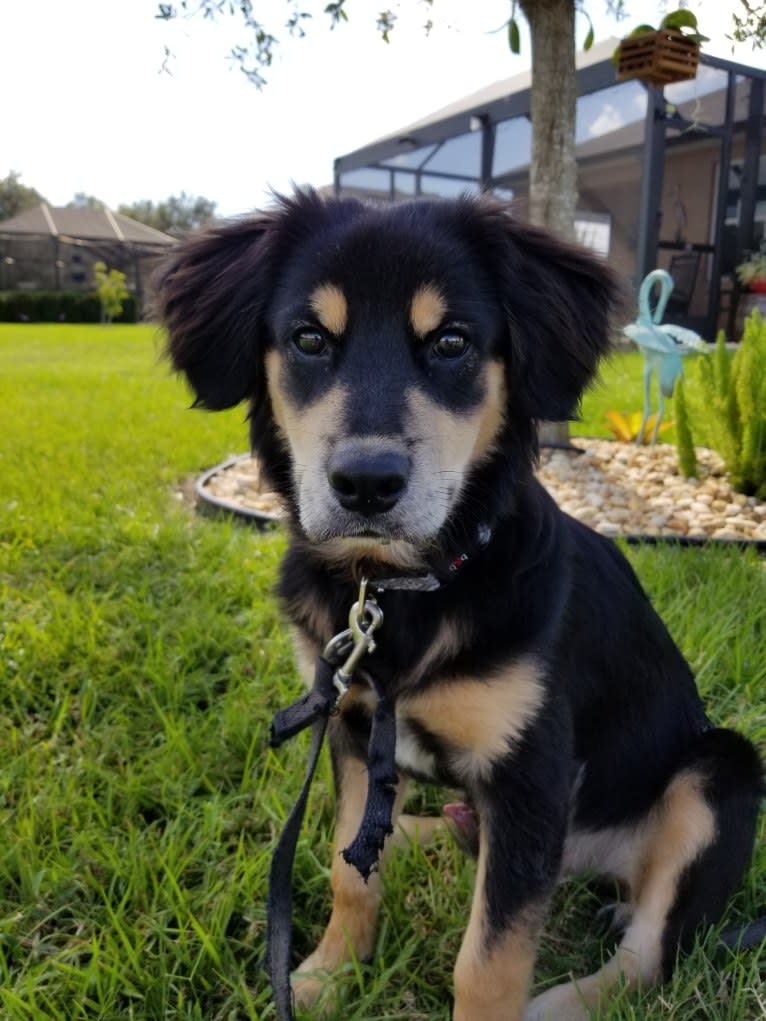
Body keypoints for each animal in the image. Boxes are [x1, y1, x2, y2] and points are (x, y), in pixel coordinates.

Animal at [153, 191, 763, 1021]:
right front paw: (326, 974)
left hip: (721, 770)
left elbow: (488, 960)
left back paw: (562, 1000)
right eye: (309, 338)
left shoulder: (531, 775)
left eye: (451, 341)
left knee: (646, 955)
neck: (404, 588)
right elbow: (348, 870)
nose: (368, 482)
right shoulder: (352, 724)